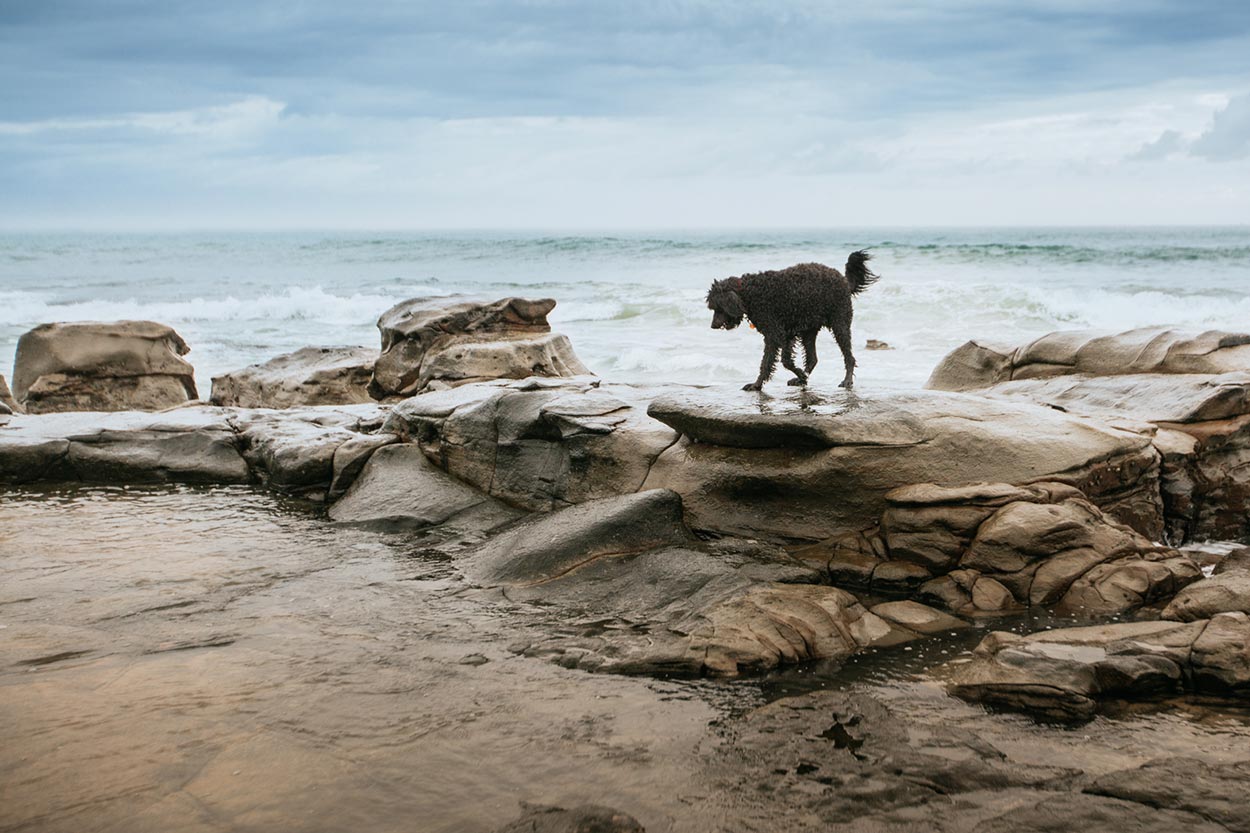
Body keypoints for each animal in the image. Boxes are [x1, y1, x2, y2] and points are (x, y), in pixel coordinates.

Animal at [705, 247, 880, 390]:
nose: (713, 326)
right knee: (813, 359)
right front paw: (796, 377)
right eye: (713, 308)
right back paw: (801, 379)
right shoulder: (784, 335)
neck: (748, 293)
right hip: (809, 330)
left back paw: (846, 381)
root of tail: (844, 280)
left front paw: (759, 384)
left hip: (840, 323)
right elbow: (777, 362)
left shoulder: (777, 334)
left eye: (718, 308)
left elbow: (777, 362)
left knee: (849, 357)